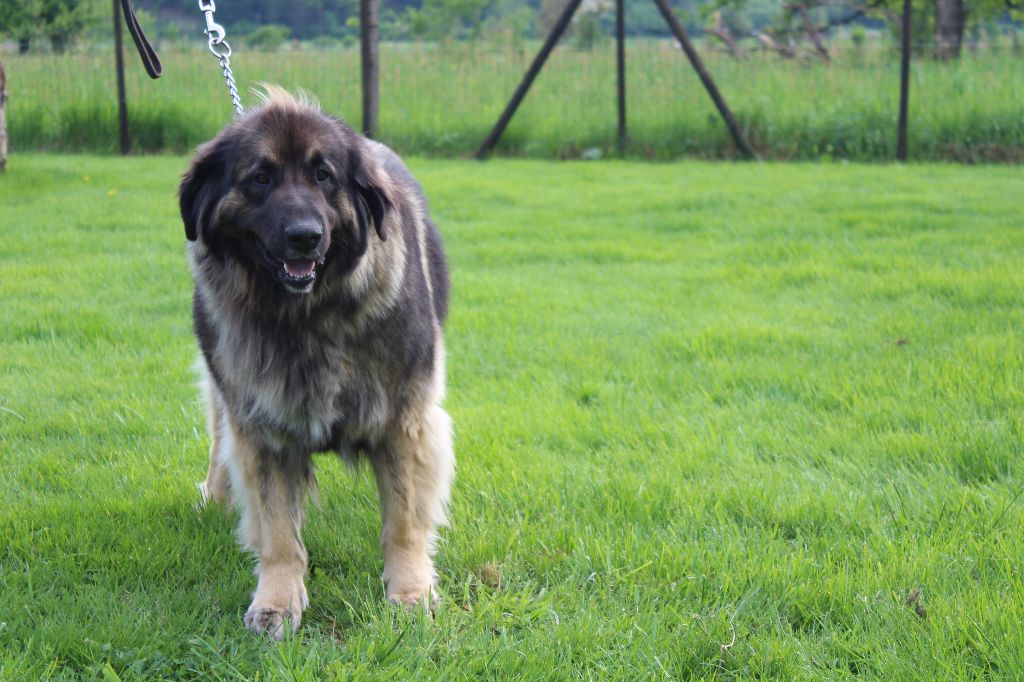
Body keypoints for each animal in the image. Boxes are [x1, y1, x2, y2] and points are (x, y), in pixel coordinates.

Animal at [178, 88, 454, 639]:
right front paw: (277, 601)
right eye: (260, 178)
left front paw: (411, 591)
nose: (305, 235)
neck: (306, 316)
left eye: (323, 176)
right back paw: (216, 496)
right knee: (219, 440)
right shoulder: (261, 426)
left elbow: (403, 522)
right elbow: (278, 531)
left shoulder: (404, 420)